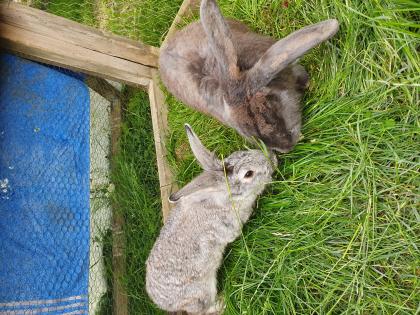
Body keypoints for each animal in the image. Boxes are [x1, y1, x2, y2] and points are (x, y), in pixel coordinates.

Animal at [146, 124, 278, 314]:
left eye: (241, 152)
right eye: (248, 174)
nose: (273, 157)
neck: (224, 198)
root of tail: (162, 302)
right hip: (202, 293)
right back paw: (222, 302)